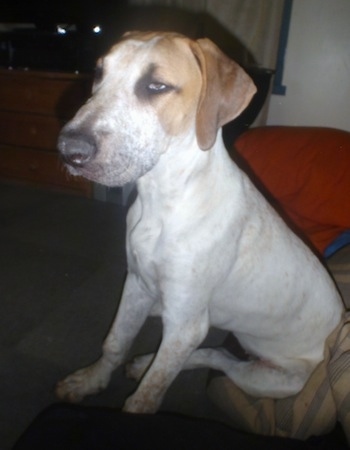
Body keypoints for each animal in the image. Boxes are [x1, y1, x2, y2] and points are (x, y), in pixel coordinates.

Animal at [56, 31, 344, 416]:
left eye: (157, 85)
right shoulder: (135, 282)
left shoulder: (186, 325)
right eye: (99, 72)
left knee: (217, 357)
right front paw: (90, 381)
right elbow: (115, 341)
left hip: (267, 377)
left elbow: (149, 392)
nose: (68, 149)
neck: (162, 201)